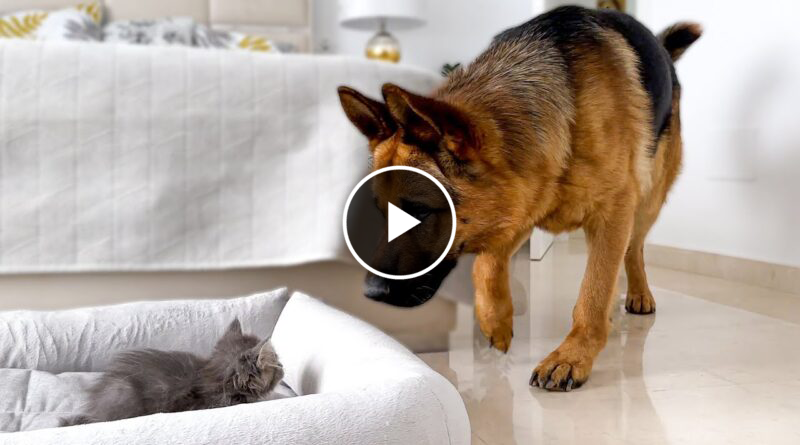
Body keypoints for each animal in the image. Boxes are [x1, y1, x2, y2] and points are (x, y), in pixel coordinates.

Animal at [338, 5, 700, 390]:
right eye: (381, 212)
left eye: (419, 211)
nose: (371, 293)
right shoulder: (522, 204)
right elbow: (485, 265)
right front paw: (495, 321)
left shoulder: (612, 211)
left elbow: (593, 290)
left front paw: (573, 356)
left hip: (648, 199)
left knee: (633, 248)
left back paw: (638, 294)